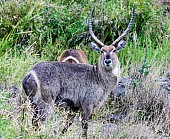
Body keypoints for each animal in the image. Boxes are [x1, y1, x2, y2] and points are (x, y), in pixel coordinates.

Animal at [21, 7, 135, 139]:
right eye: (102, 50)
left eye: (114, 50)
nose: (107, 61)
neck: (99, 77)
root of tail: (29, 74)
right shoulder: (87, 105)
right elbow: (84, 128)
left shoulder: (74, 107)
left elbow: (67, 124)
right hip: (45, 104)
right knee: (38, 123)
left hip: (33, 104)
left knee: (33, 123)